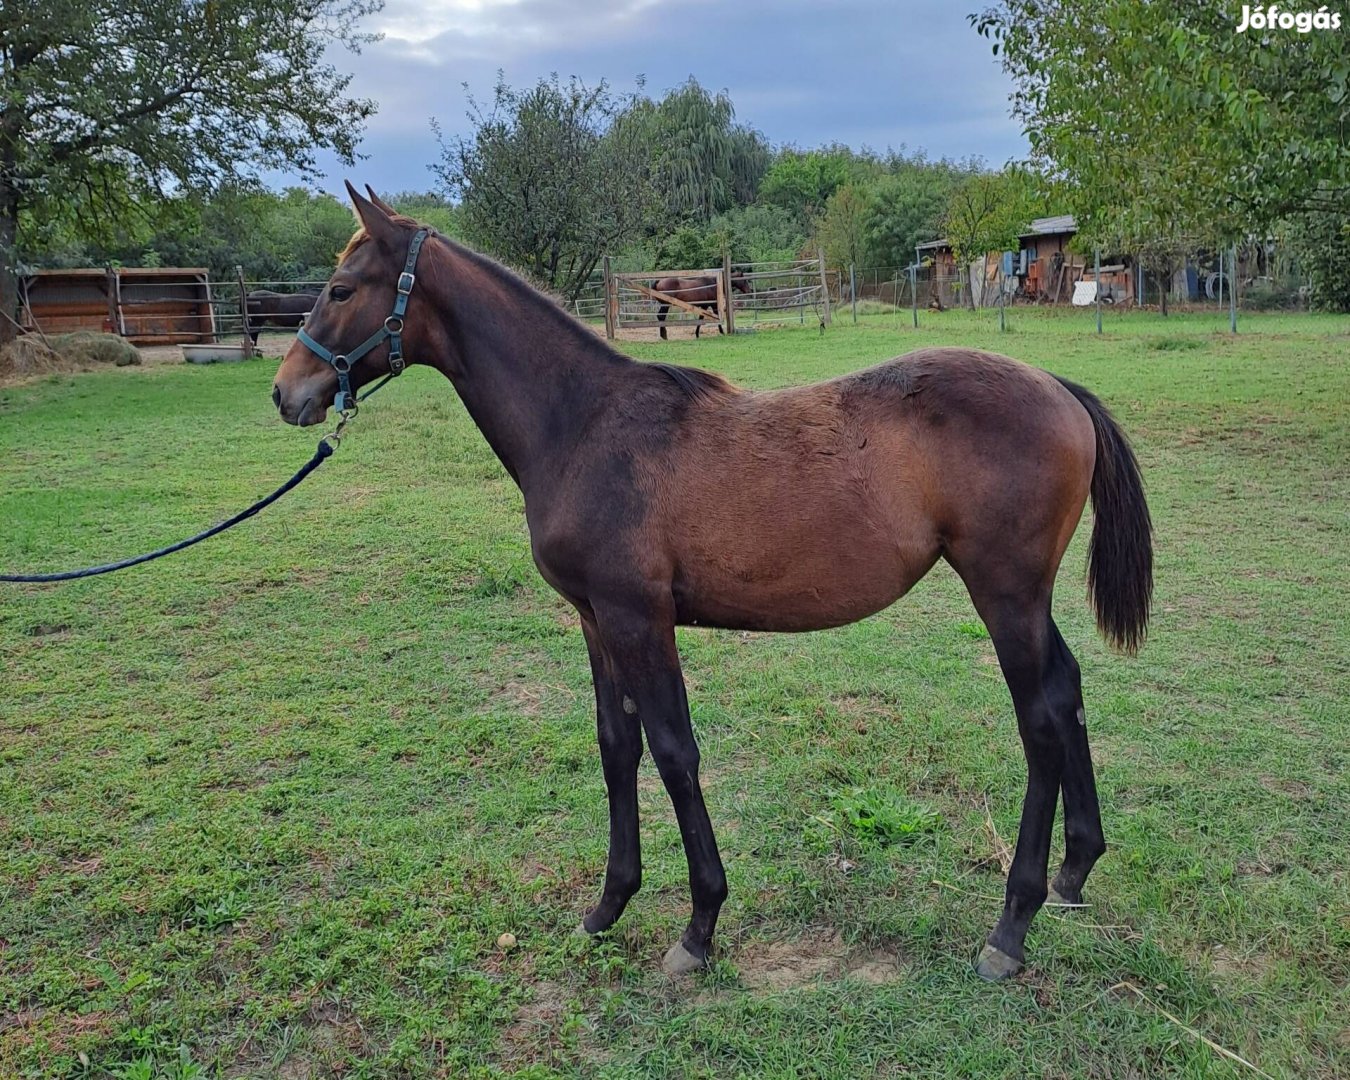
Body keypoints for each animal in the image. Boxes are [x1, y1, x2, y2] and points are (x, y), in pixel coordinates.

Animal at [271, 187, 1150, 988]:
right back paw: (1074, 872)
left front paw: (698, 927)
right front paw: (608, 905)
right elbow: (616, 746)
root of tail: (1061, 389)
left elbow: (672, 751)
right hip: (1024, 598)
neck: (582, 424)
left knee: (1039, 723)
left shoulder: (639, 619)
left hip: (1003, 594)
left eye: (341, 289)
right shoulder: (596, 621)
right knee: (1067, 691)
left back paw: (1011, 927)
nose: (287, 392)